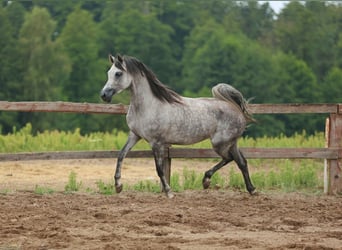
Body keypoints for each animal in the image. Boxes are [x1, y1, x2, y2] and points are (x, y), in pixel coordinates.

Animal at [100, 54, 255, 197]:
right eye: (108, 72)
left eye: (118, 73)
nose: (104, 95)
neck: (148, 106)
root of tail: (235, 108)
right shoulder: (134, 135)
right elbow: (121, 155)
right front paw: (118, 186)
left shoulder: (156, 142)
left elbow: (159, 169)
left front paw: (169, 192)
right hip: (231, 143)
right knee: (241, 161)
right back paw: (251, 189)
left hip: (220, 143)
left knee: (230, 158)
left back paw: (206, 180)